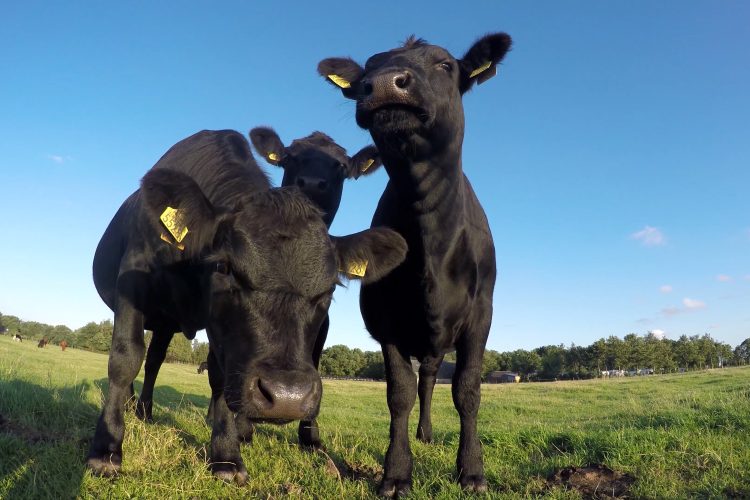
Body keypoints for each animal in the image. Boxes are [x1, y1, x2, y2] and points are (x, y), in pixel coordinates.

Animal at [320, 31, 516, 496]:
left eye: (445, 64)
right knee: (422, 381)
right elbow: (400, 394)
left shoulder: (481, 316)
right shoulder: (385, 320)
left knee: (432, 378)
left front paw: (472, 472)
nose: (384, 84)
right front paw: (395, 473)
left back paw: (427, 435)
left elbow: (467, 390)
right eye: (368, 69)